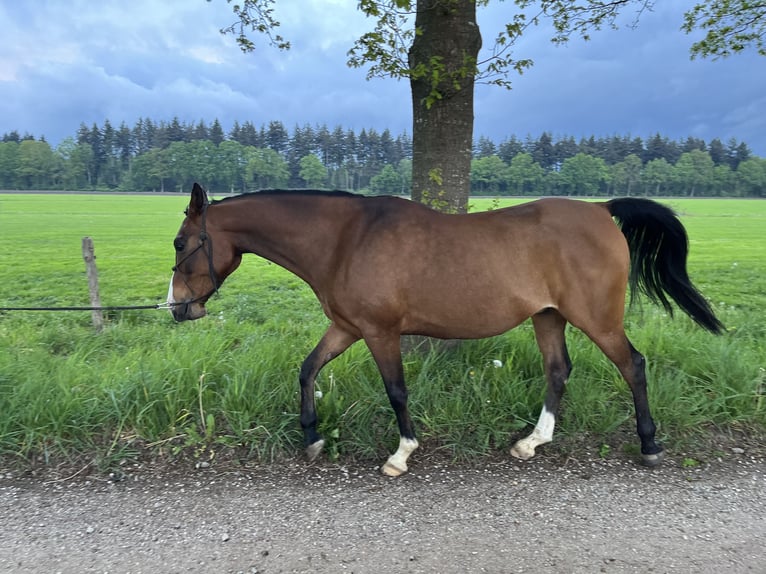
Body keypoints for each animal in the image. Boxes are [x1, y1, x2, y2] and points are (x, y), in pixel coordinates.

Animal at [168, 183, 723, 476]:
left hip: (597, 318)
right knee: (558, 371)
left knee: (633, 366)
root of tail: (601, 210)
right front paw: (312, 437)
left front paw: (401, 454)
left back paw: (649, 445)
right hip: (548, 316)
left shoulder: (379, 331)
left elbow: (396, 390)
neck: (347, 239)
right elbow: (307, 370)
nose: (177, 308)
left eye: (179, 243)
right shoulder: (346, 327)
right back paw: (531, 442)